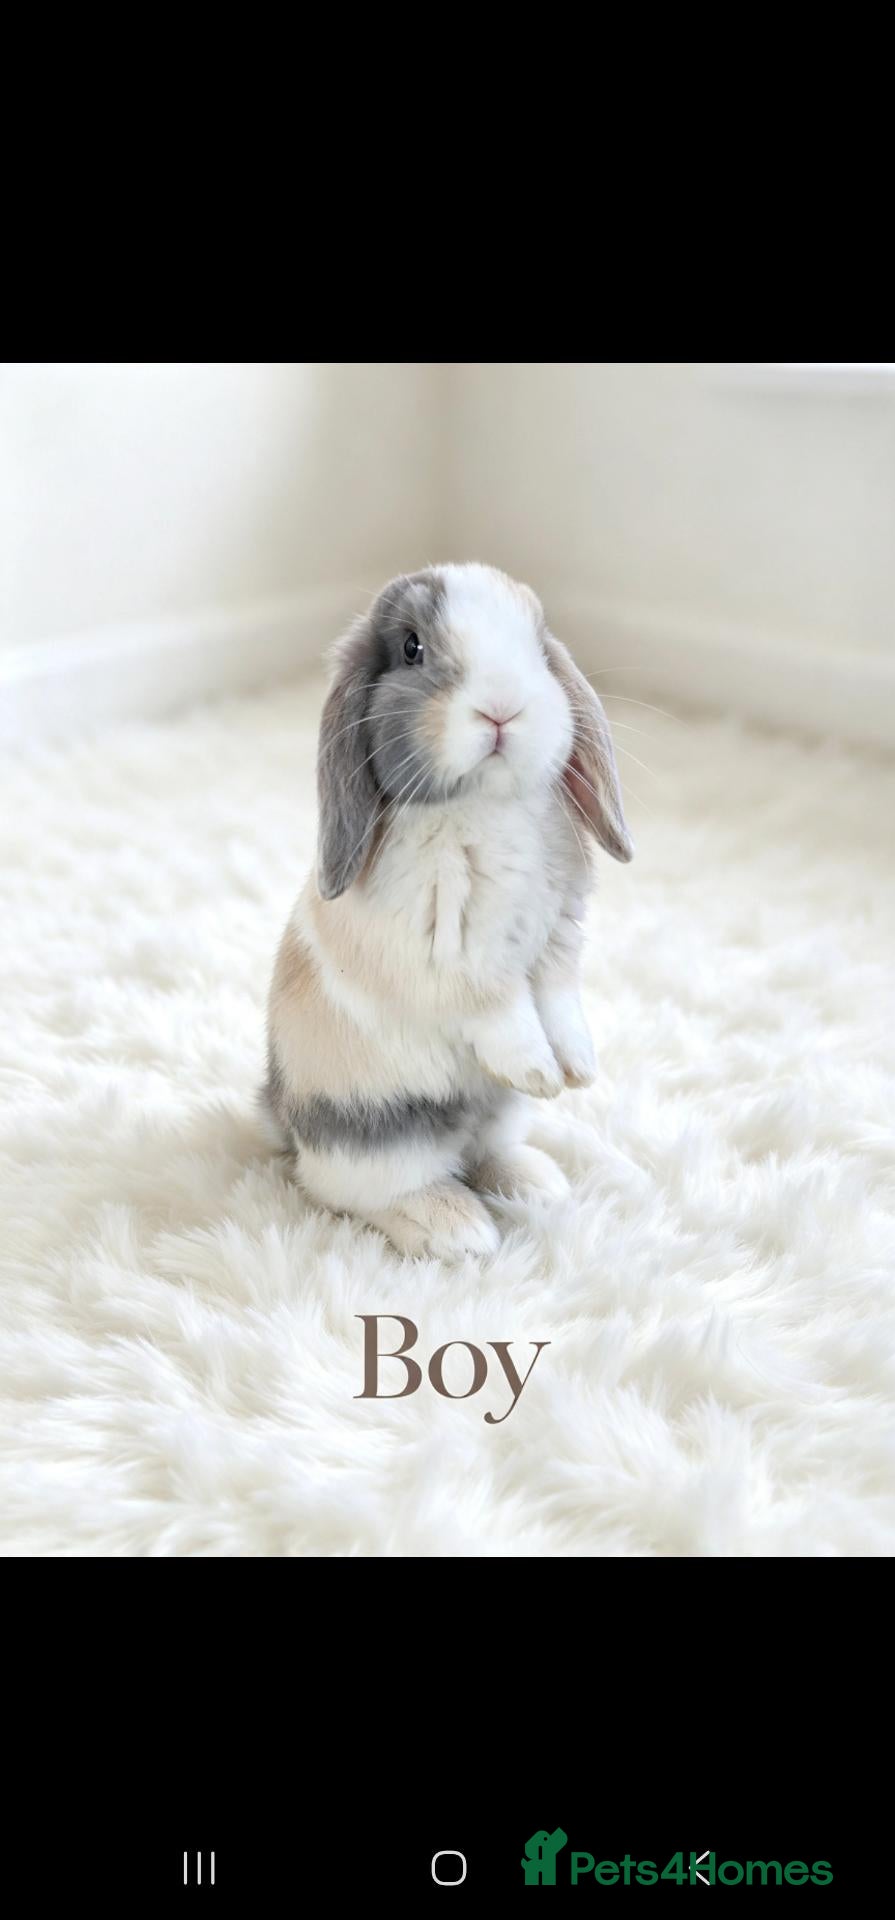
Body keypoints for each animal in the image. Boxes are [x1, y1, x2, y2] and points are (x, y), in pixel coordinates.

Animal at [263, 562, 633, 1259]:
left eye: (538, 643)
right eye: (412, 648)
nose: (502, 707)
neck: (486, 804)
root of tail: (281, 1115)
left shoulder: (557, 945)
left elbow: (559, 1003)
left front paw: (577, 1069)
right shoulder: (457, 964)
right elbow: (504, 1014)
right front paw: (541, 1071)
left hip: (497, 1111)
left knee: (482, 1153)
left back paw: (537, 1184)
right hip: (379, 1129)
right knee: (356, 1189)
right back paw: (458, 1230)